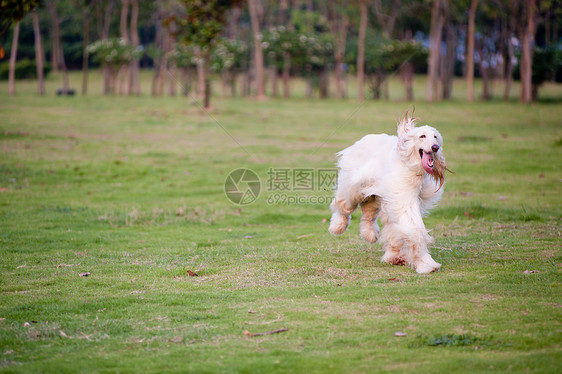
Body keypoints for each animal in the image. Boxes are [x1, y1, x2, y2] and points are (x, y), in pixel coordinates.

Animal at [328, 112, 446, 274]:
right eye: (422, 136)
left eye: (435, 137)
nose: (435, 147)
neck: (409, 166)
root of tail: (365, 138)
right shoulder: (404, 199)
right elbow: (414, 229)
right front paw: (426, 264)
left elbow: (395, 230)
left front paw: (396, 257)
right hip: (355, 187)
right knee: (344, 205)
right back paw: (337, 226)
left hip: (374, 195)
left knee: (368, 214)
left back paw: (370, 234)